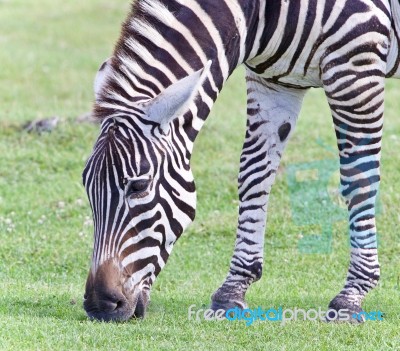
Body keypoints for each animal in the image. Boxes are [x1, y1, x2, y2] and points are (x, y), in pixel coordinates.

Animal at [81, 0, 396, 324]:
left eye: (139, 186)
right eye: (86, 186)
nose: (100, 306)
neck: (261, 14)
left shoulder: (356, 66)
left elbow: (358, 179)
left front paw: (352, 295)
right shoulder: (274, 82)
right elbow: (254, 174)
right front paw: (233, 289)